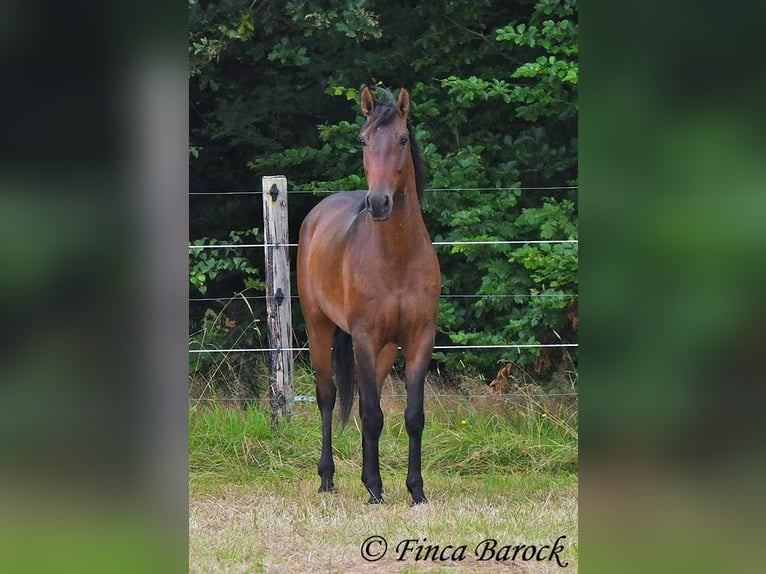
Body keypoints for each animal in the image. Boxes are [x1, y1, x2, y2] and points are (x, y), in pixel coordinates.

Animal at [296, 88, 440, 506]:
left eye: (403, 139)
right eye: (363, 140)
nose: (378, 203)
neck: (397, 257)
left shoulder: (419, 339)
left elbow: (411, 417)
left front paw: (415, 490)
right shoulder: (362, 337)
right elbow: (372, 414)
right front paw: (375, 488)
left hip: (385, 349)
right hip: (318, 328)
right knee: (328, 396)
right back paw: (327, 478)